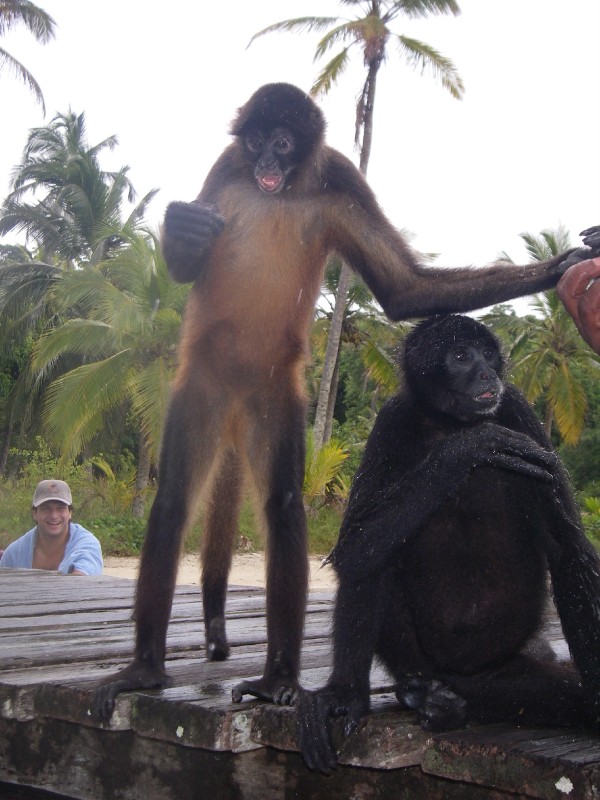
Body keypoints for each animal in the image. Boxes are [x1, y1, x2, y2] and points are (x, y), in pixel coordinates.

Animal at [92, 82, 599, 721]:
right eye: (255, 141)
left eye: (283, 143)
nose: (265, 162)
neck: (286, 189)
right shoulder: (227, 167)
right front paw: (185, 227)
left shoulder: (340, 179)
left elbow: (404, 290)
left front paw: (564, 265)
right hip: (200, 388)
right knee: (173, 503)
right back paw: (146, 669)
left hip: (274, 396)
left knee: (285, 508)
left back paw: (279, 680)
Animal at [298, 314, 600, 773]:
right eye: (461, 356)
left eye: (489, 354)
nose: (488, 373)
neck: (449, 422)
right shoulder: (393, 419)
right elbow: (353, 548)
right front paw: (467, 449)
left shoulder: (518, 411)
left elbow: (567, 548)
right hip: (413, 658)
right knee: (373, 558)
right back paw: (358, 697)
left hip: (501, 667)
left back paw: (447, 706)